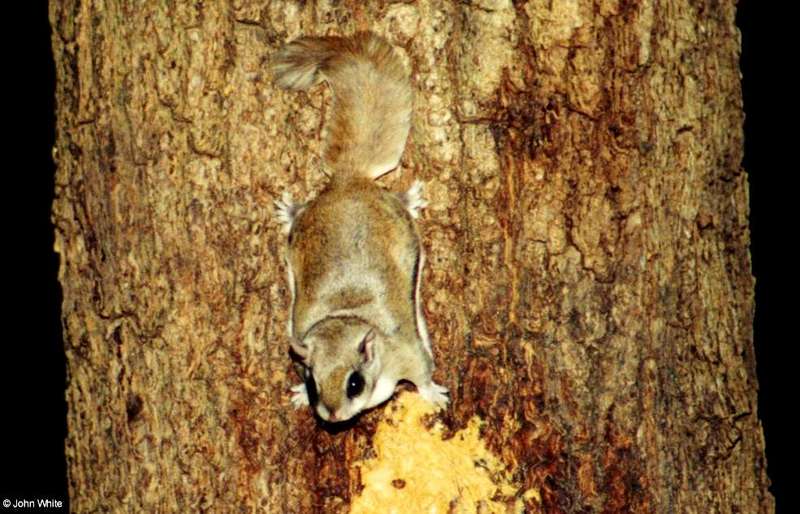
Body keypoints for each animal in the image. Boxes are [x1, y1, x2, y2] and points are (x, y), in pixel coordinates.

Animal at [272, 33, 450, 424]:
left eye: (354, 383)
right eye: (313, 384)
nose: (334, 418)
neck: (346, 317)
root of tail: (348, 180)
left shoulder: (407, 352)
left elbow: (421, 373)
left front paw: (433, 394)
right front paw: (297, 395)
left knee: (398, 201)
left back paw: (411, 198)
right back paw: (288, 211)